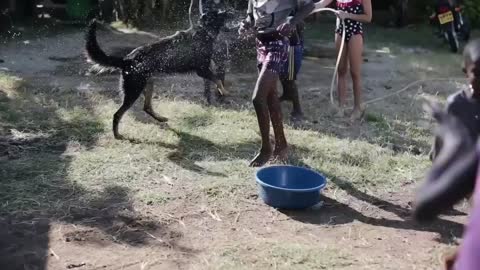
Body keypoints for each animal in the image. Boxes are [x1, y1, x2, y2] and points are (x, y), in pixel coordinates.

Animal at [85, 10, 230, 139]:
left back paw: (160, 119)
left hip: (148, 84)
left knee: (147, 107)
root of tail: (126, 59)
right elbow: (217, 79)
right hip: (133, 91)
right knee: (117, 114)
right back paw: (117, 135)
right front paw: (224, 91)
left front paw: (221, 90)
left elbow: (216, 78)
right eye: (217, 14)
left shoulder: (205, 69)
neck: (204, 31)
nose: (227, 12)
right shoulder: (202, 70)